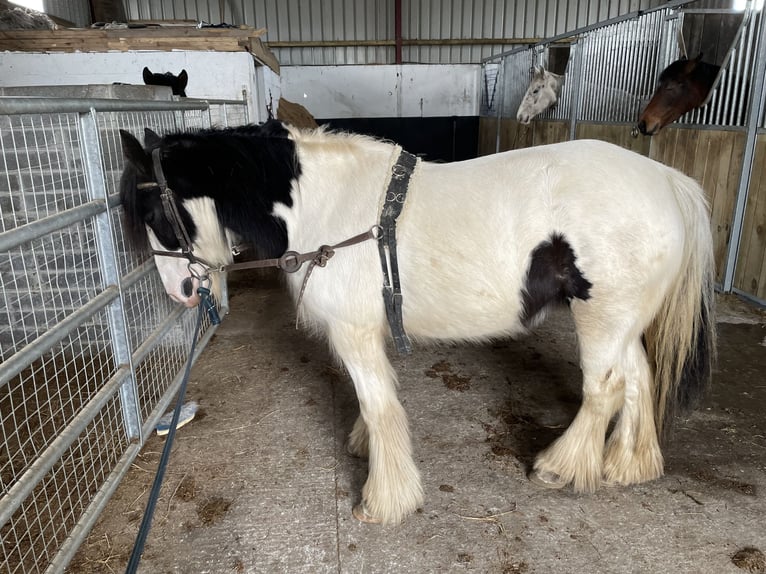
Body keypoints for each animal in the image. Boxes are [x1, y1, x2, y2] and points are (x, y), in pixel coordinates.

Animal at [117, 120, 716, 528]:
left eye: (153, 214)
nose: (181, 291)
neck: (327, 205)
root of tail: (667, 180)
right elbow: (372, 405)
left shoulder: (354, 334)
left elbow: (380, 406)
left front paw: (384, 499)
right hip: (622, 321)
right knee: (637, 379)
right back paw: (628, 464)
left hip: (601, 316)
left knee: (604, 388)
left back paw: (561, 467)